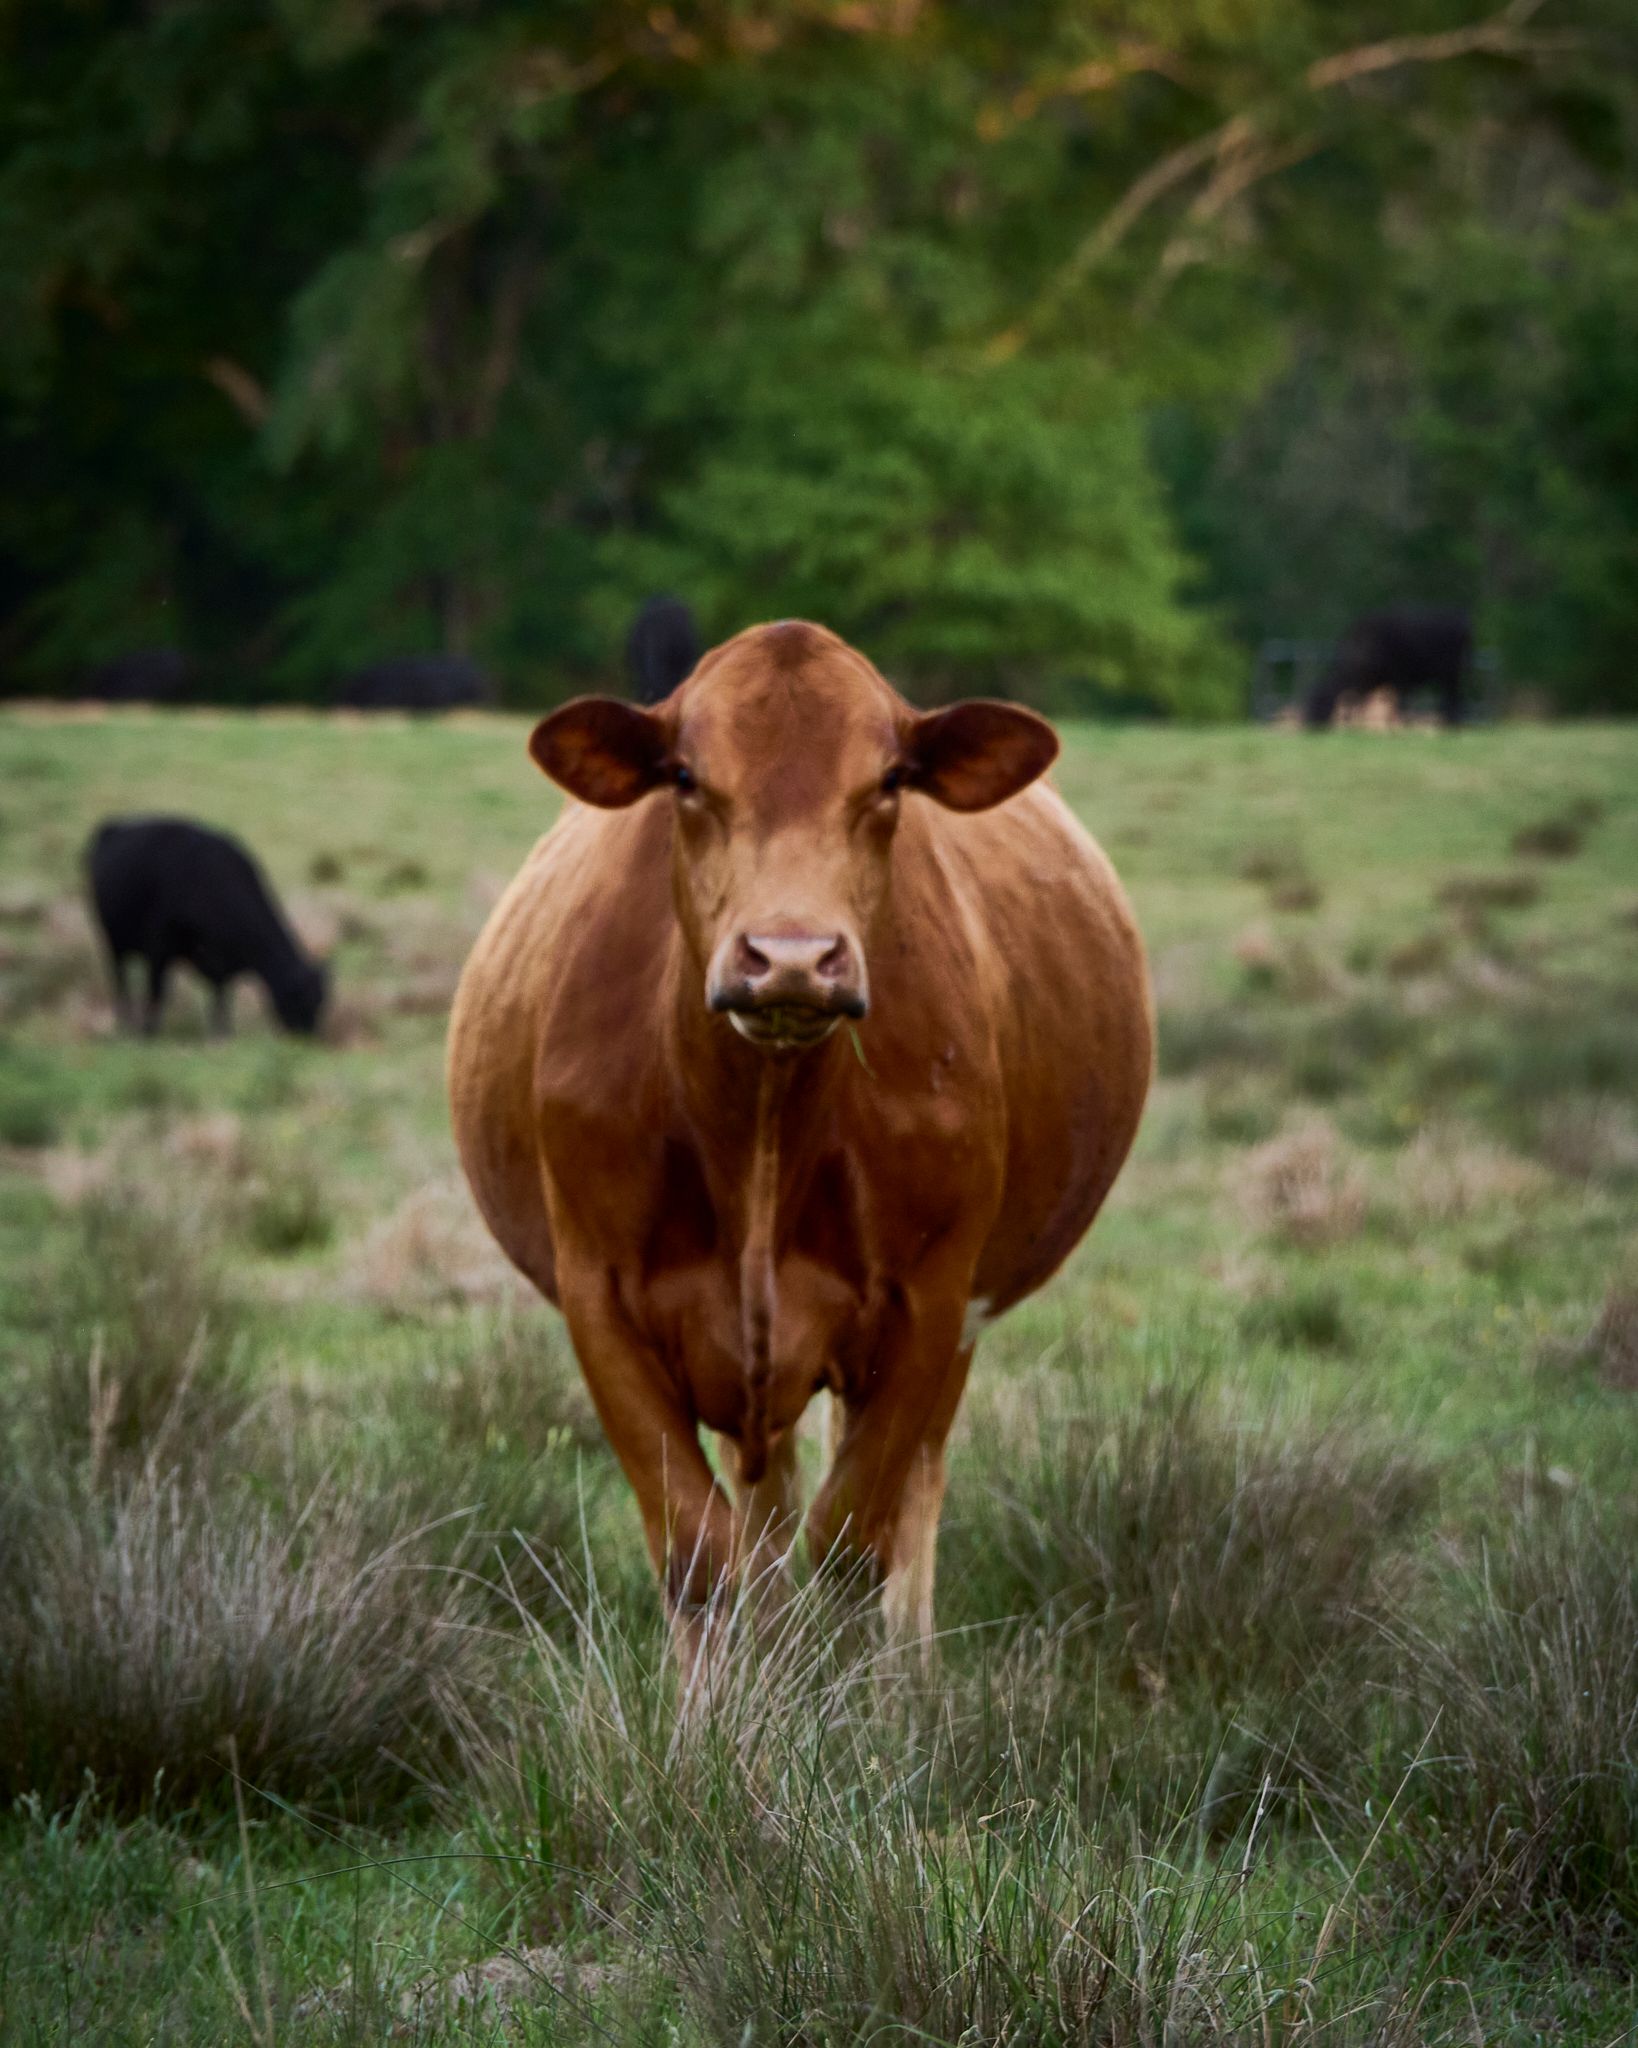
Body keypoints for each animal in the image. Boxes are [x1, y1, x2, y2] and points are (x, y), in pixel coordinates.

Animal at [87, 817, 328, 1038]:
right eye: (301, 1000)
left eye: (320, 1004)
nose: (308, 1038)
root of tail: (112, 826)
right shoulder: (158, 945)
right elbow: (157, 991)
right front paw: (148, 1032)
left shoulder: (220, 962)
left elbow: (221, 996)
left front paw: (222, 1034)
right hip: (112, 942)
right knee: (120, 982)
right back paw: (125, 1024)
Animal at [447, 621, 1152, 1676]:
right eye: (685, 775)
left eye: (891, 778)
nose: (790, 958)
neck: (761, 1124)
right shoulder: (599, 1299)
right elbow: (701, 1556)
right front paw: (717, 1716)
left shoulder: (926, 1303)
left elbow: (854, 1547)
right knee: (766, 1519)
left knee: (907, 1505)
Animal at [1304, 608, 1472, 729]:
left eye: (1319, 699)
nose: (1309, 723)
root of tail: (1462, 622)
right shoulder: (1377, 683)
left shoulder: (1396, 679)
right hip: (1449, 676)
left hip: (1450, 674)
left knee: (1452, 698)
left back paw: (1450, 725)